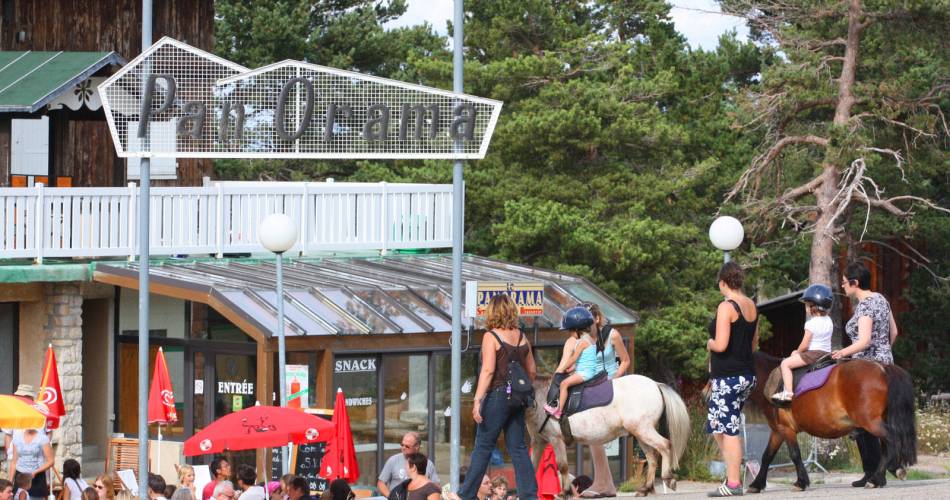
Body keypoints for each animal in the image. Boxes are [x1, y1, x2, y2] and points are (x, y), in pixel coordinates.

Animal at [528, 376, 692, 496]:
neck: (541, 399)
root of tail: (655, 384)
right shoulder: (538, 442)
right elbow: (532, 465)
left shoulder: (556, 439)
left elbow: (562, 465)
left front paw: (565, 492)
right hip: (640, 433)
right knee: (652, 457)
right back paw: (646, 488)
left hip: (643, 430)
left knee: (665, 445)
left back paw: (668, 478)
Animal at [748, 352, 920, 492]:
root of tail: (882, 367)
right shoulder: (777, 431)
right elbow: (767, 456)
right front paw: (756, 484)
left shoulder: (785, 429)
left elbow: (795, 455)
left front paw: (801, 482)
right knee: (886, 445)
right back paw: (882, 475)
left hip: (871, 423)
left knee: (892, 440)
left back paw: (878, 477)